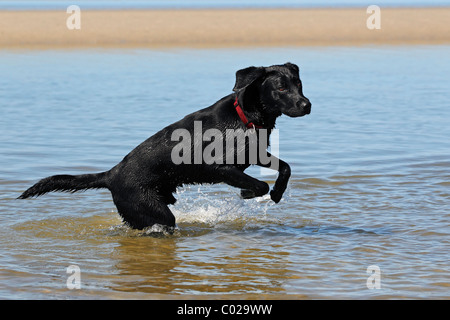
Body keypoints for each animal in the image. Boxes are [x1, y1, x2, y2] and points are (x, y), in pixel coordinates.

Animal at [19, 62, 312, 229]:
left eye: (299, 84)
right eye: (281, 88)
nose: (307, 105)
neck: (245, 117)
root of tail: (111, 174)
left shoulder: (252, 154)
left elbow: (285, 168)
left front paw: (277, 192)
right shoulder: (219, 168)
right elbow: (258, 184)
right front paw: (250, 193)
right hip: (152, 210)